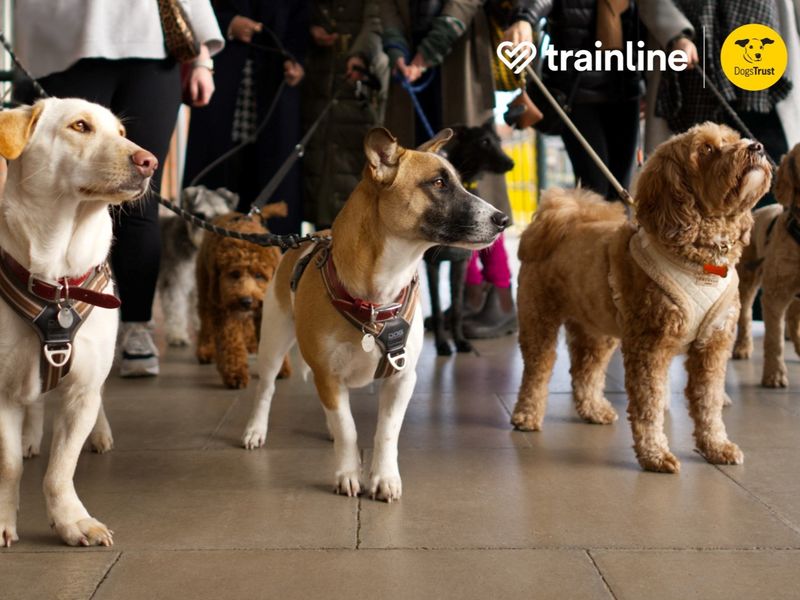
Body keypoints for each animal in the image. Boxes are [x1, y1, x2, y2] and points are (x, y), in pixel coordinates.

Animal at [0, 97, 157, 544]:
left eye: (121, 133)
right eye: (80, 126)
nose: (149, 161)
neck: (58, 280)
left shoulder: (82, 391)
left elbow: (60, 469)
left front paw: (72, 521)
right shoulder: (1, 391)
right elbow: (9, 465)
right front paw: (3, 519)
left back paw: (99, 434)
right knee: (33, 403)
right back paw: (30, 436)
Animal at [196, 203, 290, 390]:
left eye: (259, 275)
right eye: (234, 274)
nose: (246, 301)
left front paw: (279, 367)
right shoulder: (223, 308)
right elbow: (231, 342)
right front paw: (236, 374)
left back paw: (251, 344)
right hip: (206, 289)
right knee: (206, 322)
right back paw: (205, 350)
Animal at [241, 129, 510, 500]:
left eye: (456, 180)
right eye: (439, 183)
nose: (504, 220)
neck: (376, 299)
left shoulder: (401, 379)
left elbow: (385, 432)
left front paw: (384, 476)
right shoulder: (328, 376)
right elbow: (348, 429)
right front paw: (347, 472)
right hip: (273, 343)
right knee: (265, 389)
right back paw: (255, 428)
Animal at [512, 124, 768, 476]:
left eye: (733, 138)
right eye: (706, 149)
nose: (756, 146)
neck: (699, 258)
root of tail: (560, 221)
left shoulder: (713, 347)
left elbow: (709, 403)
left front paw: (716, 447)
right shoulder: (650, 347)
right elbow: (649, 407)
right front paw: (655, 455)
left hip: (597, 329)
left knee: (585, 370)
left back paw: (593, 410)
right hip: (539, 319)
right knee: (538, 368)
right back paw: (526, 414)